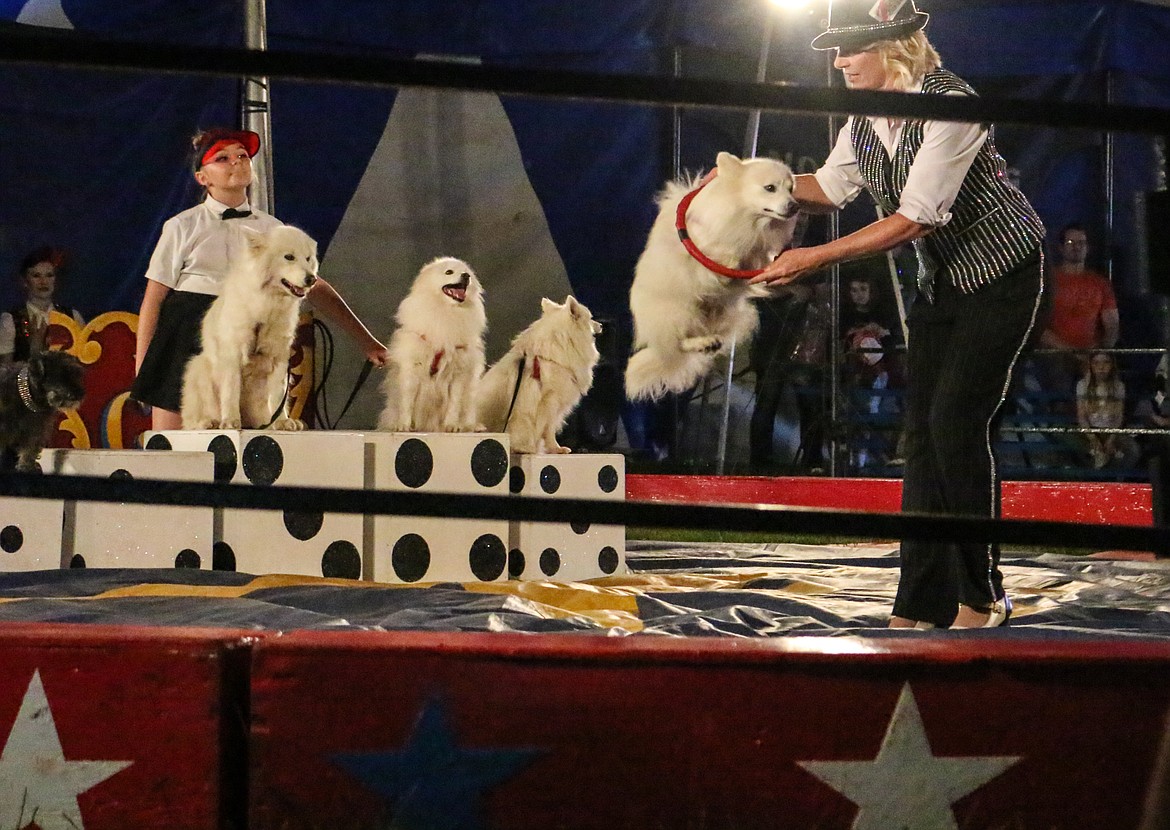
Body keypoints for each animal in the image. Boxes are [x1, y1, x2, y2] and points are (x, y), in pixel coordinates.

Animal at [179, 221, 318, 428]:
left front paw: (282, 422)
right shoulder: (233, 354)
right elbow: (231, 393)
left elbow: (277, 396)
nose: (312, 279)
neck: (268, 305)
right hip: (199, 367)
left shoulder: (279, 356)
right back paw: (208, 422)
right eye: (289, 257)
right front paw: (230, 421)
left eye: (308, 259)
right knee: (192, 419)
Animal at [374, 255, 484, 430]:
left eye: (466, 273)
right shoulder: (412, 367)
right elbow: (407, 403)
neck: (446, 311)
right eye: (449, 272)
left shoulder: (458, 372)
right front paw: (404, 426)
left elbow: (454, 403)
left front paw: (451, 426)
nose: (466, 276)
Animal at [627, 155, 800, 405]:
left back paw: (709, 342)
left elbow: (757, 258)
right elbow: (720, 253)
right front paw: (730, 260)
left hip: (739, 314)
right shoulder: (702, 250)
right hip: (680, 310)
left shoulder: (758, 251)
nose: (795, 206)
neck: (749, 219)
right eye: (770, 188)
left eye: (791, 189)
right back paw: (699, 342)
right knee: (679, 342)